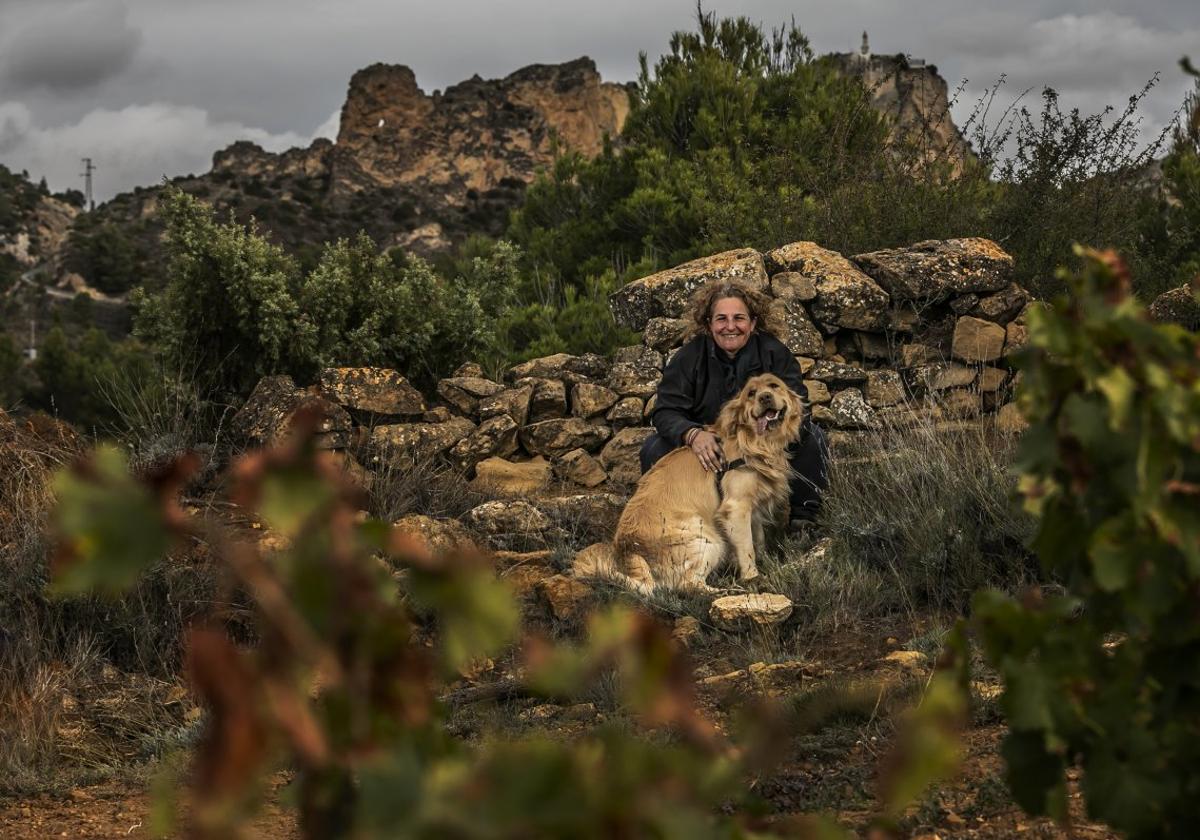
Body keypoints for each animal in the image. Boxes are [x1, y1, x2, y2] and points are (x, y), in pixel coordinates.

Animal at [573, 374, 801, 597]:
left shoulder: (752, 508)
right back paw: (727, 591)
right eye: (751, 393)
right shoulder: (736, 507)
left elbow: (758, 539)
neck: (754, 441)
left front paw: (767, 563)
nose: (765, 397)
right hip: (709, 540)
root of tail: (630, 551)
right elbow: (747, 549)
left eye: (774, 385)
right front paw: (753, 578)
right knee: (688, 585)